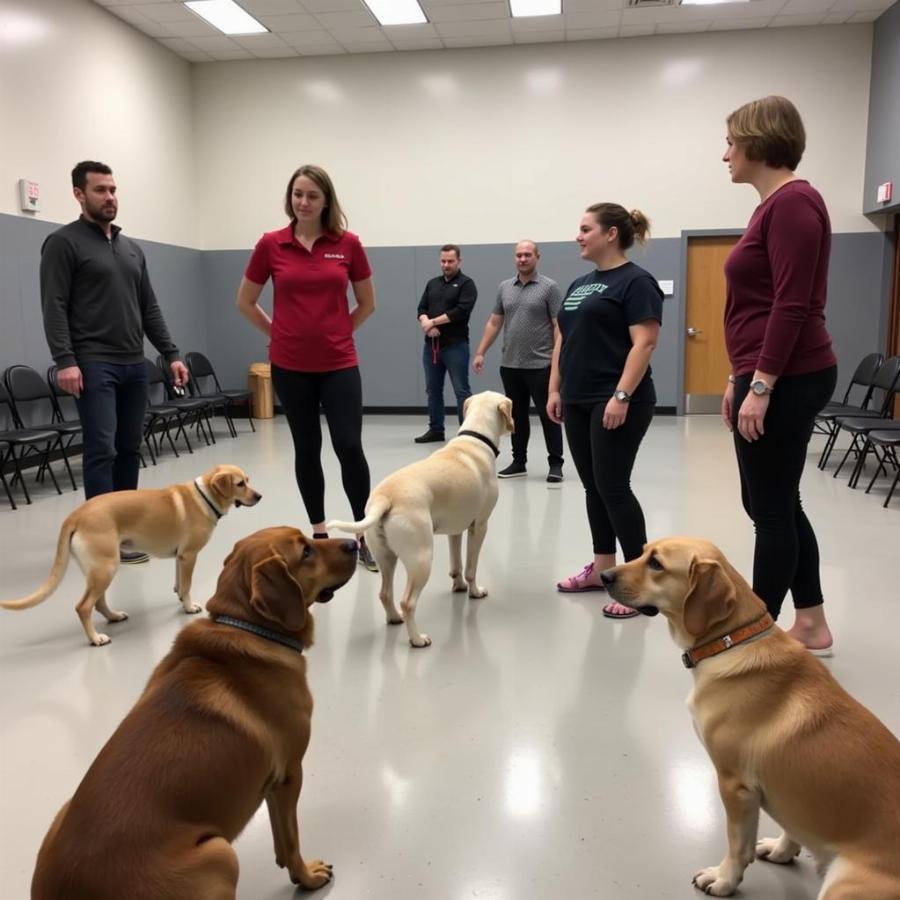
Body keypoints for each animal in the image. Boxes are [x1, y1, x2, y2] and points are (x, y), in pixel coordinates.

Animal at [0, 464, 260, 648]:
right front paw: (188, 607)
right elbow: (187, 585)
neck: (203, 497)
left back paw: (114, 617)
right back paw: (95, 638)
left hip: (99, 569)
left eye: (248, 480)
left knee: (99, 602)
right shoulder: (189, 556)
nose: (259, 496)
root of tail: (76, 515)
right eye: (240, 484)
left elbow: (179, 583)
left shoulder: (180, 557)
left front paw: (179, 597)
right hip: (106, 567)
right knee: (83, 606)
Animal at [29, 524, 352, 900]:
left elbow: (281, 846)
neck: (245, 625)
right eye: (305, 552)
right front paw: (307, 877)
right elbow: (290, 842)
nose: (354, 542)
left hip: (62, 810)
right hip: (220, 854)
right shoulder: (288, 776)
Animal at [596, 536, 900, 896]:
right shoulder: (788, 791)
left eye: (656, 564)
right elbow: (791, 826)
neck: (729, 641)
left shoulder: (735, 785)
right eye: (643, 551)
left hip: (843, 883)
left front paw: (724, 879)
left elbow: (738, 845)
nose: (604, 576)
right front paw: (783, 850)